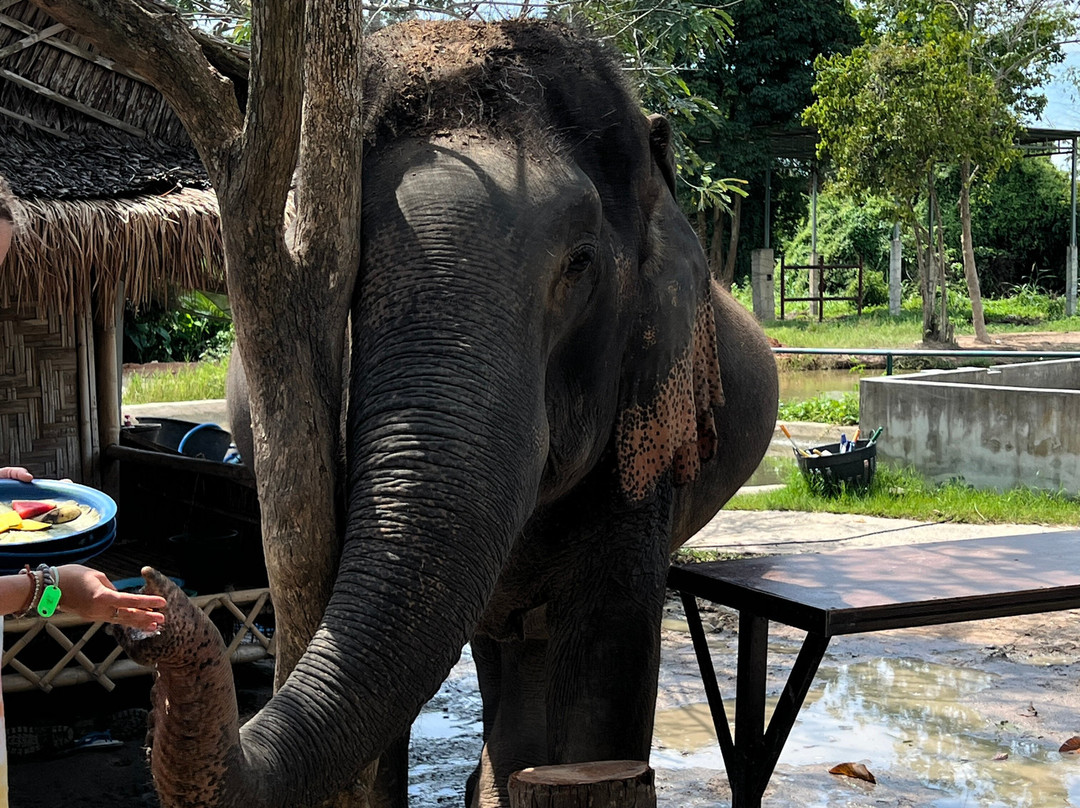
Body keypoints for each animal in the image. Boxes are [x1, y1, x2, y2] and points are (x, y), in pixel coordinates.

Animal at [120, 18, 779, 808]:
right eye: (344, 267)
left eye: (580, 263)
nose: (154, 608)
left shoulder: (644, 433)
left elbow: (611, 645)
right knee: (502, 642)